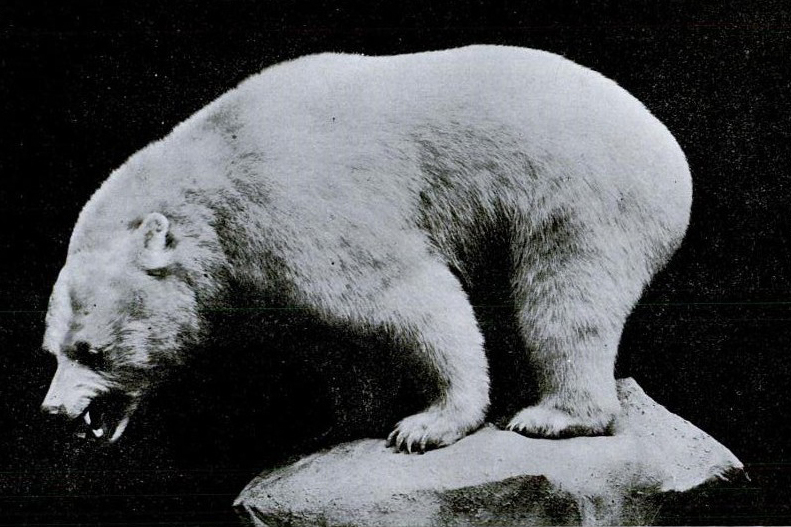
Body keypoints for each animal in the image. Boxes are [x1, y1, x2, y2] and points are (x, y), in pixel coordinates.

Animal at [40, 45, 692, 452]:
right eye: (51, 351)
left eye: (92, 350)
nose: (52, 412)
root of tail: (672, 159)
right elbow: (338, 339)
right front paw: (335, 424)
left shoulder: (299, 209)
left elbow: (411, 297)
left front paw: (428, 424)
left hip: (579, 196)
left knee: (563, 299)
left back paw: (555, 414)